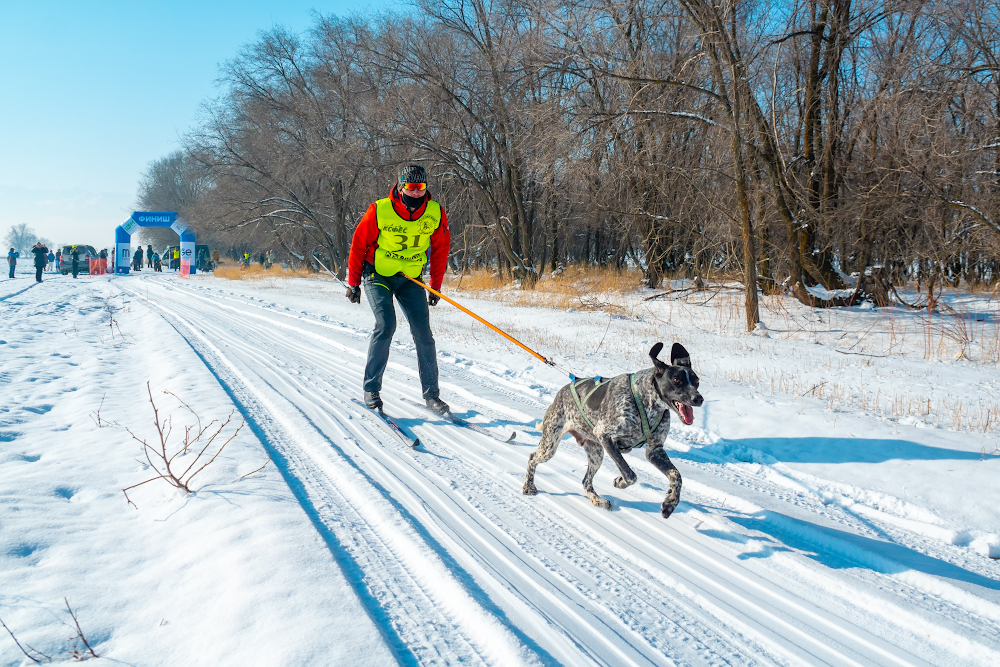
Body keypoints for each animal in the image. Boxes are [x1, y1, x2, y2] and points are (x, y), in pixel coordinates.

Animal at [524, 342, 704, 520]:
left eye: (696, 381)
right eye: (676, 379)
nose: (699, 399)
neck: (646, 401)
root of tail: (560, 393)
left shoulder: (655, 451)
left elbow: (676, 475)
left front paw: (670, 502)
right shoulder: (605, 436)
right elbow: (630, 475)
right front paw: (620, 481)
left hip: (596, 454)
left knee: (586, 482)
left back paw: (598, 500)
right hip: (550, 445)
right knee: (532, 458)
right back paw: (528, 486)